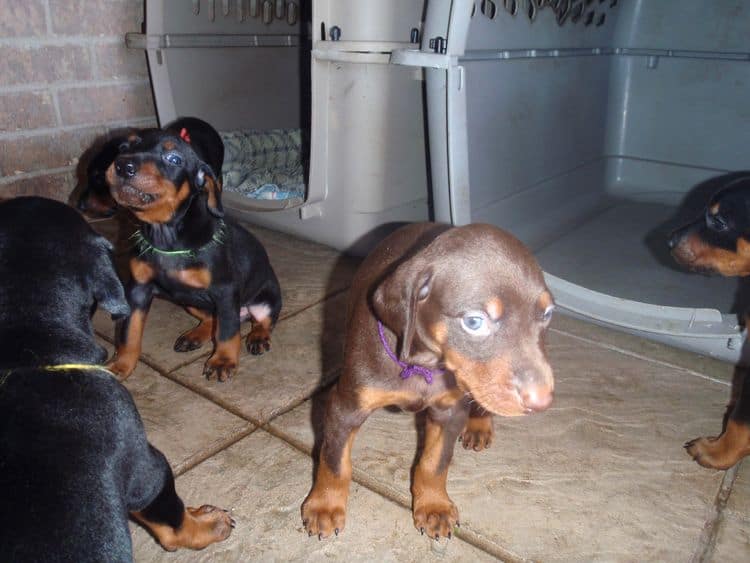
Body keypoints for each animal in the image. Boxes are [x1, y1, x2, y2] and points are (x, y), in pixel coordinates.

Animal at [103, 120, 282, 382]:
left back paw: (258, 337)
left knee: (262, 321)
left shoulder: (225, 291)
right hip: (188, 301)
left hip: (265, 299)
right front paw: (121, 365)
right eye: (125, 147)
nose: (123, 166)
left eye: (174, 159)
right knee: (210, 319)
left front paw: (222, 361)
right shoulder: (138, 290)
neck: (167, 236)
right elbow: (129, 333)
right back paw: (195, 336)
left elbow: (227, 333)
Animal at [302, 223, 556, 540]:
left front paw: (434, 507)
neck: (423, 367)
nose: (543, 400)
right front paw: (324, 506)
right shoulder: (345, 407)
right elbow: (334, 461)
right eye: (474, 321)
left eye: (548, 313)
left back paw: (479, 424)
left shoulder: (449, 412)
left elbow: (434, 463)